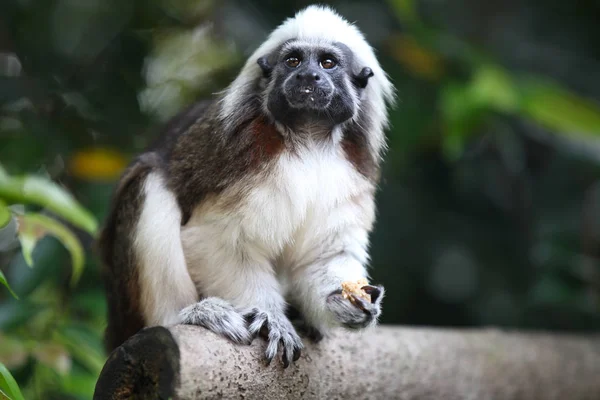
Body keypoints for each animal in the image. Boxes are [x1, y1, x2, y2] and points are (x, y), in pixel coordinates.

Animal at [98, 5, 396, 368]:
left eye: (327, 63)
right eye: (293, 61)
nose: (308, 77)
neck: (309, 138)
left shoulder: (354, 167)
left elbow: (323, 254)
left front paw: (346, 305)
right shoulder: (241, 155)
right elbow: (217, 239)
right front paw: (272, 317)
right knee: (149, 181)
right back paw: (188, 314)